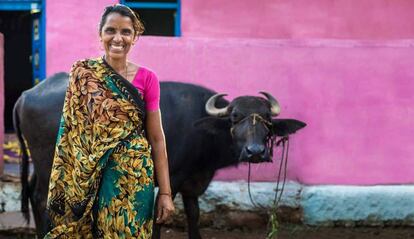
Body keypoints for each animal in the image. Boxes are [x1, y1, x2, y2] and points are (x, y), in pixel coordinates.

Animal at [13, 72, 304, 238]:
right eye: (235, 117)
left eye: (267, 120)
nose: (255, 152)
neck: (202, 129)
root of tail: (27, 94)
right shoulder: (171, 179)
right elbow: (158, 218)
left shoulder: (193, 182)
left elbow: (194, 215)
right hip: (48, 161)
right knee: (41, 197)